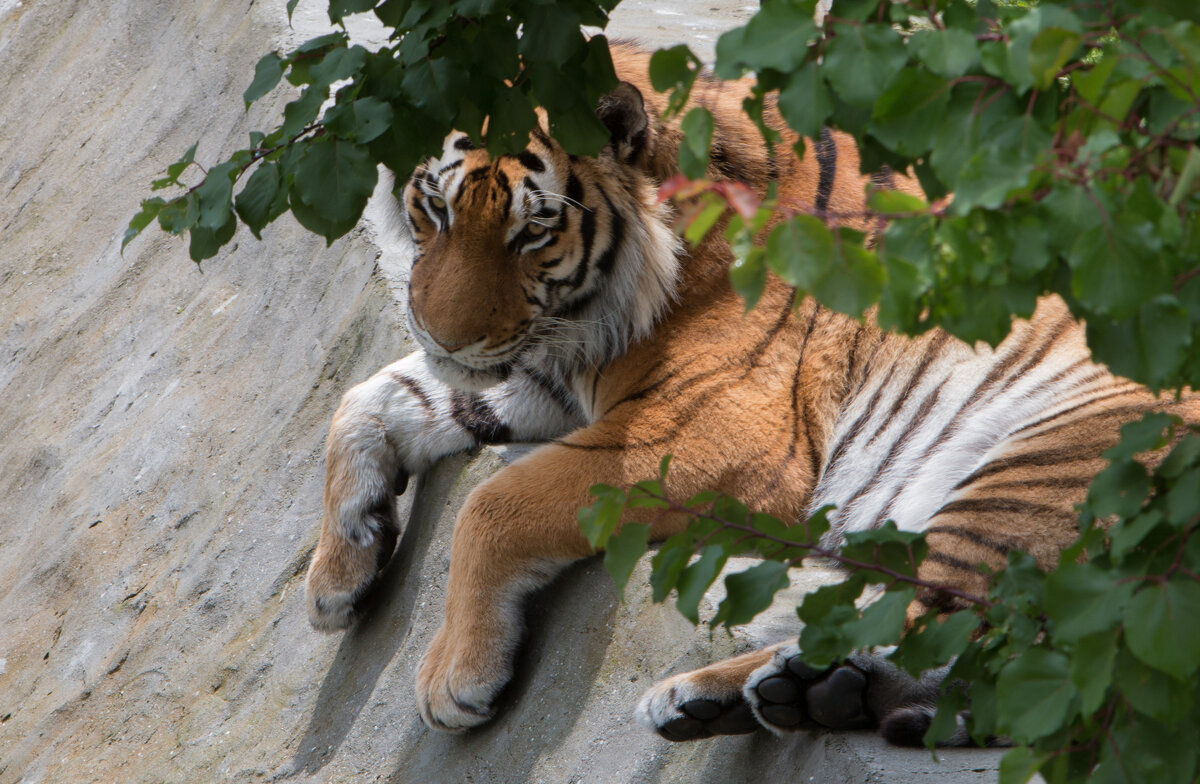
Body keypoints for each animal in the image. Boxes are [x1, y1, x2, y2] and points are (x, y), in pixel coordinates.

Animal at [302, 39, 1200, 744]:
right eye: (435, 209)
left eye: (532, 232)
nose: (445, 336)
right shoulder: (556, 379)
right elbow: (365, 401)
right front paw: (338, 576)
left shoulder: (708, 430)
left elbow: (498, 503)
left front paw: (454, 677)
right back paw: (773, 697)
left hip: (1055, 467)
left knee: (987, 641)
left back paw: (760, 693)